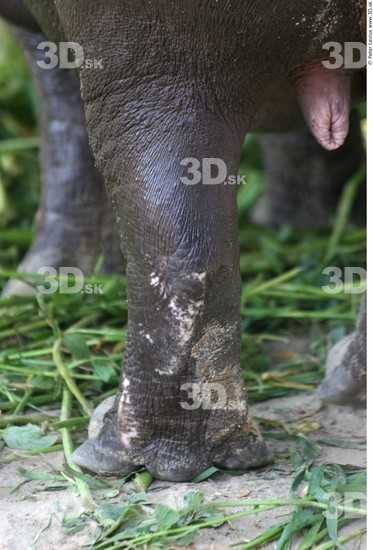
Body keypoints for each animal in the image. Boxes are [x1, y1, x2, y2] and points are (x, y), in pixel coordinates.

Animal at [0, 0, 364, 480]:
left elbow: (59, 114)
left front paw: (31, 283)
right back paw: (337, 384)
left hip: (153, 68)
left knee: (180, 248)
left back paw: (120, 454)